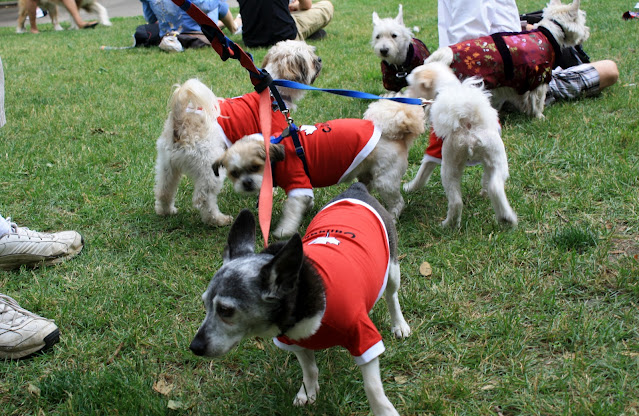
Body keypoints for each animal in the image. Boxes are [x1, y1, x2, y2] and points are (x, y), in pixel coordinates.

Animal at [190, 183, 410, 416]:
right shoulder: (295, 341)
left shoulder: (363, 339)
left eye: (226, 310)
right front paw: (308, 392)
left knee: (392, 296)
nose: (194, 347)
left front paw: (384, 411)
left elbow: (372, 386)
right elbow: (310, 369)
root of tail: (356, 189)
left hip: (392, 267)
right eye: (205, 305)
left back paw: (399, 324)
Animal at [212, 98, 428, 237]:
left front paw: (284, 230)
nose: (247, 183)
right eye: (234, 173)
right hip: (367, 174)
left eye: (256, 167)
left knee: (398, 201)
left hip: (385, 180)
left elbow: (291, 211)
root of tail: (396, 133)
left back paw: (392, 215)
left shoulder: (297, 182)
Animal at [404, 62, 520, 228]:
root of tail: (469, 120)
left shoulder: (433, 152)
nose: (406, 96)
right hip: (497, 158)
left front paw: (410, 188)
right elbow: (486, 179)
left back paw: (448, 225)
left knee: (456, 202)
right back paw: (506, 217)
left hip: (449, 165)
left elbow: (421, 175)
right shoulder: (488, 162)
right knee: (495, 186)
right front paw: (484, 193)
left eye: (411, 85)